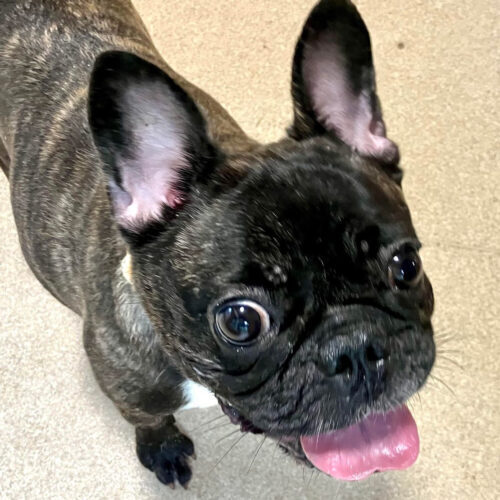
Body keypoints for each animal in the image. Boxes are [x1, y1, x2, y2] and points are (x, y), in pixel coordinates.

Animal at [0, 0, 435, 488]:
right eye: (240, 322)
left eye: (407, 265)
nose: (357, 347)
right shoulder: (128, 388)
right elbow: (148, 419)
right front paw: (163, 449)